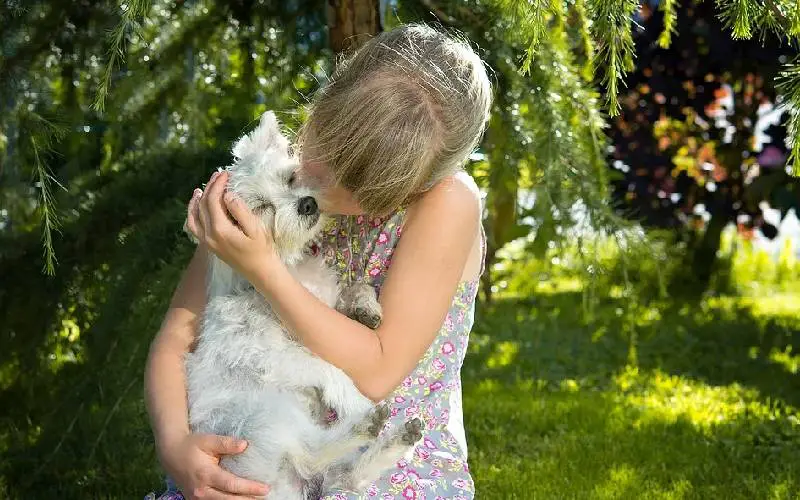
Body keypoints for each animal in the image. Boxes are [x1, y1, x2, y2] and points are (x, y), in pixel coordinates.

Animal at [186, 111, 424, 498]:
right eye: (262, 208)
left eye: (291, 178)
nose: (307, 203)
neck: (291, 271)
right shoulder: (271, 356)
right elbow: (328, 368)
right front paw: (353, 399)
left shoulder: (324, 301)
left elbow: (354, 287)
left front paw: (365, 308)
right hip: (267, 418)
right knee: (313, 453)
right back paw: (368, 421)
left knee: (348, 474)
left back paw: (398, 439)